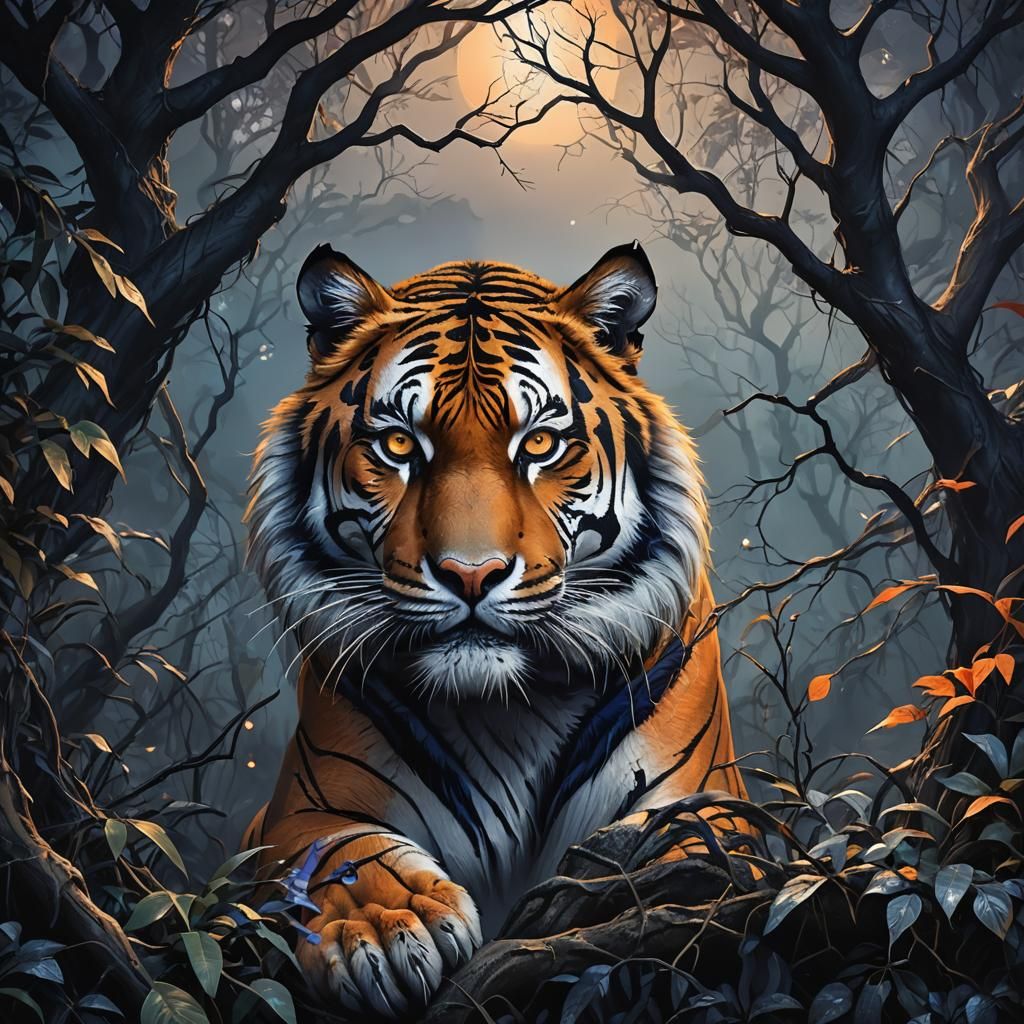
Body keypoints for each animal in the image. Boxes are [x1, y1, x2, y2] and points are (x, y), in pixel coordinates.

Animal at [244, 241, 745, 1018]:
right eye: (398, 444)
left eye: (538, 442)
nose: (471, 574)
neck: (506, 709)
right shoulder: (301, 806)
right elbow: (338, 851)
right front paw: (387, 928)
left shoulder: (706, 800)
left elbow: (693, 855)